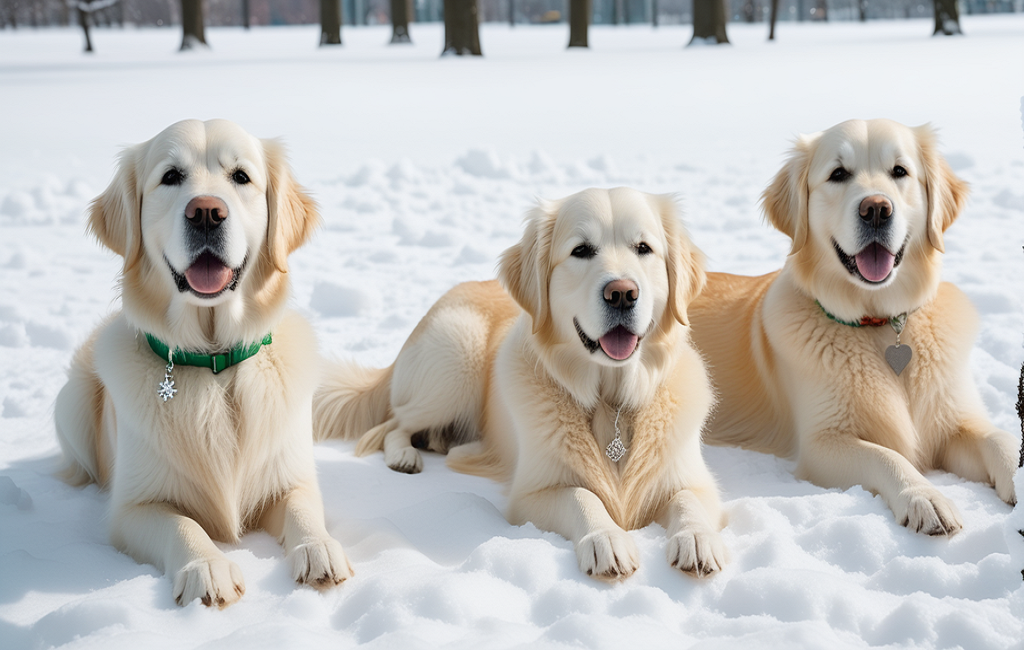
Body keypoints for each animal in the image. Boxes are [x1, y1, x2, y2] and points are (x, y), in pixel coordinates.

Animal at [55, 119, 352, 605]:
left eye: (241, 176)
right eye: (171, 176)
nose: (207, 212)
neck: (213, 363)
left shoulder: (290, 476)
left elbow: (303, 509)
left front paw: (319, 548)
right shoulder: (133, 509)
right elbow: (182, 525)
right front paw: (207, 568)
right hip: (73, 402)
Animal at [315, 188, 724, 581]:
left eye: (643, 248)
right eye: (581, 251)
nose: (622, 293)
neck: (611, 398)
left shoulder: (695, 480)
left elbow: (688, 501)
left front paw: (697, 539)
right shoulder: (532, 494)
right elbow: (582, 496)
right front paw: (605, 539)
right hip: (457, 359)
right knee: (393, 422)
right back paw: (404, 455)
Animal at [688, 119, 1015, 536]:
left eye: (900, 171)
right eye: (838, 174)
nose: (876, 209)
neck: (880, 326)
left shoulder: (955, 422)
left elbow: (1000, 440)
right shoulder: (823, 443)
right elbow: (887, 456)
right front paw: (925, 497)